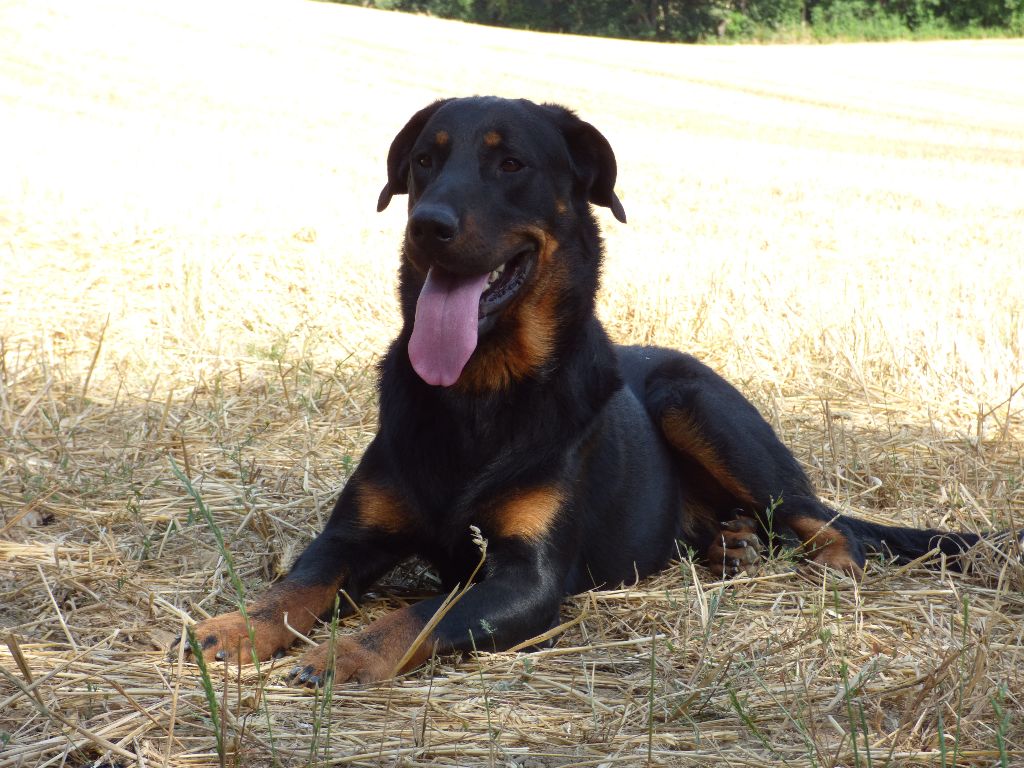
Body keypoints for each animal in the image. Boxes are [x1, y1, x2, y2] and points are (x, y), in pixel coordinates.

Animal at [176, 93, 999, 688]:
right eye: (421, 163)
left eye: (511, 164)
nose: (426, 224)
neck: (481, 389)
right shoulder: (352, 536)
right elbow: (297, 584)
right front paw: (235, 627)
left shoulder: (529, 578)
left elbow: (424, 611)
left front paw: (346, 653)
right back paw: (727, 546)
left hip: (696, 403)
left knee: (829, 526)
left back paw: (812, 564)